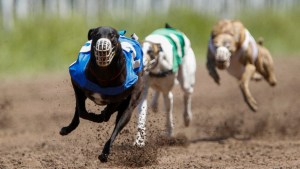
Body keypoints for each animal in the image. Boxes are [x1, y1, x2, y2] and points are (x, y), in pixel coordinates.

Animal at [59, 26, 144, 162]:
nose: (103, 47)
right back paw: (67, 129)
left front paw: (100, 116)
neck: (104, 75)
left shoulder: (121, 97)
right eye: (96, 35)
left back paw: (105, 153)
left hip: (129, 107)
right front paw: (94, 116)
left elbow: (109, 111)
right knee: (79, 113)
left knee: (117, 125)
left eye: (112, 36)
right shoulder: (77, 84)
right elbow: (82, 111)